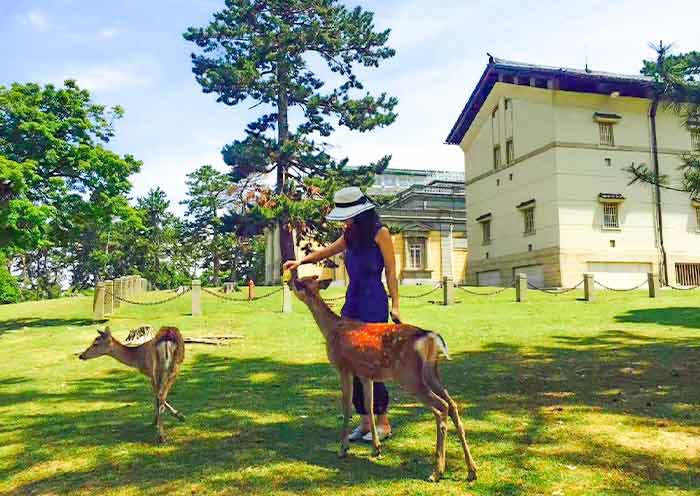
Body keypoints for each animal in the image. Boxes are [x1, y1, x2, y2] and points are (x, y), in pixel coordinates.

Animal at [288, 274, 478, 482]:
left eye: (300, 282)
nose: (288, 282)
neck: (331, 329)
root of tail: (429, 337)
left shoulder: (344, 367)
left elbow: (347, 406)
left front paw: (343, 449)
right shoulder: (365, 373)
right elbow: (370, 405)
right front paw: (376, 449)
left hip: (409, 376)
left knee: (441, 407)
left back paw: (437, 472)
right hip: (431, 372)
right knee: (452, 404)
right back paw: (471, 470)